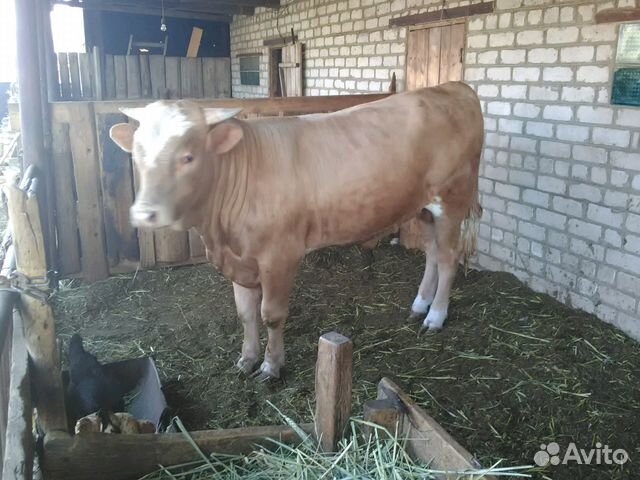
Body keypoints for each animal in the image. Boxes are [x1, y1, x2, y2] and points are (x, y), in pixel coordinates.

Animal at [109, 82, 484, 381]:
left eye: (187, 157)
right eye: (137, 155)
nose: (144, 213)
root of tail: (452, 87)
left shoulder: (279, 256)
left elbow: (271, 315)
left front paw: (271, 366)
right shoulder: (239, 259)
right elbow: (246, 314)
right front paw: (246, 360)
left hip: (452, 199)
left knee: (449, 258)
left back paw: (436, 316)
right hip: (423, 208)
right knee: (432, 253)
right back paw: (420, 304)